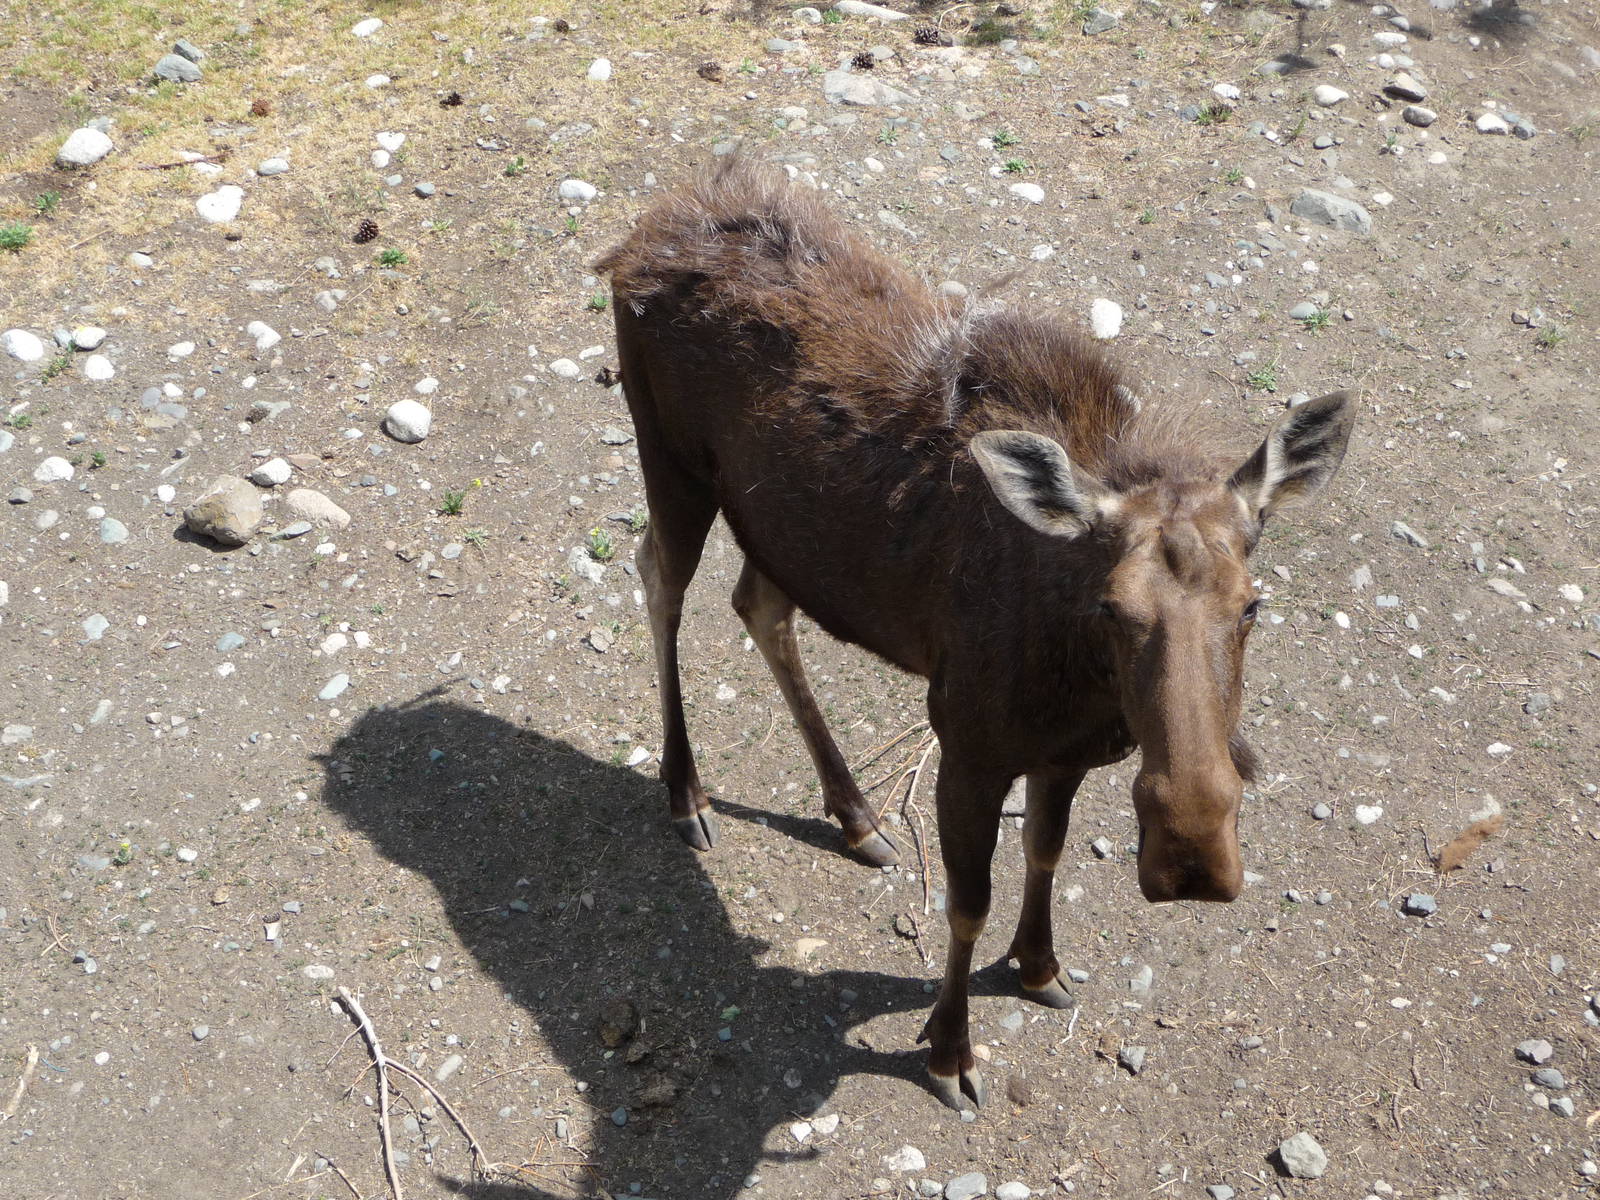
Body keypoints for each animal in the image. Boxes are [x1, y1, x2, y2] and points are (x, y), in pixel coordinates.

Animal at [596, 155, 1355, 1110]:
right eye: (1112, 609)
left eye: (1252, 604)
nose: (1190, 854)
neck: (1079, 682)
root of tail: (636, 237)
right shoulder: (966, 745)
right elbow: (967, 903)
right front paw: (950, 1049)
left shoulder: (1064, 755)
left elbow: (1046, 850)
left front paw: (1037, 965)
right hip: (669, 458)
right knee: (659, 576)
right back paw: (687, 793)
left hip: (775, 529)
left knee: (757, 607)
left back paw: (854, 813)